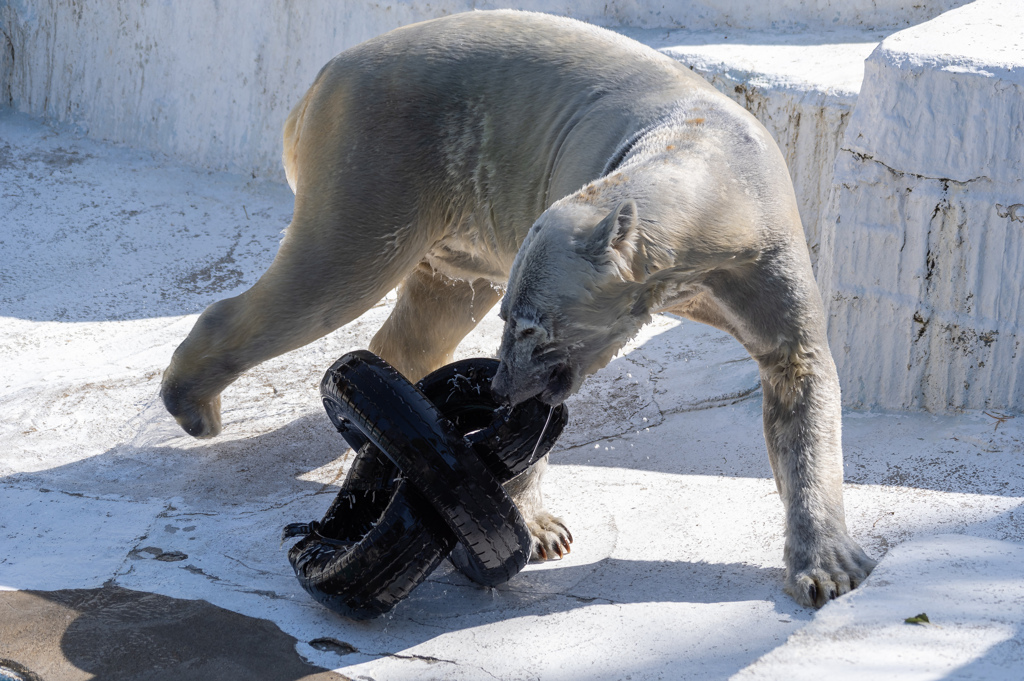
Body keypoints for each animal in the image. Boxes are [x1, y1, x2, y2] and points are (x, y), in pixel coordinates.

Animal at [163, 9, 876, 606]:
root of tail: (318, 82)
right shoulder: (581, 173)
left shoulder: (760, 251)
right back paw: (194, 405)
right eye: (512, 323)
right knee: (332, 276)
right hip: (382, 154)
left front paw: (829, 568)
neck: (707, 161)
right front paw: (539, 528)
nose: (500, 387)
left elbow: (798, 377)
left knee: (428, 313)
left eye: (531, 326)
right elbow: (535, 433)